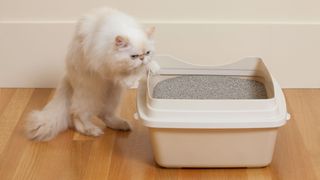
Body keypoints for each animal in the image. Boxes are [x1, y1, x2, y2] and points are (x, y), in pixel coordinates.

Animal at [26, 7, 160, 141]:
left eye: (147, 52)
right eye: (134, 56)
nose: (142, 58)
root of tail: (68, 75)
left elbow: (147, 66)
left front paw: (152, 67)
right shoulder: (104, 68)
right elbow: (125, 74)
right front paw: (133, 78)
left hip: (113, 94)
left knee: (104, 114)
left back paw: (121, 125)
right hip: (90, 94)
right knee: (77, 115)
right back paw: (92, 130)